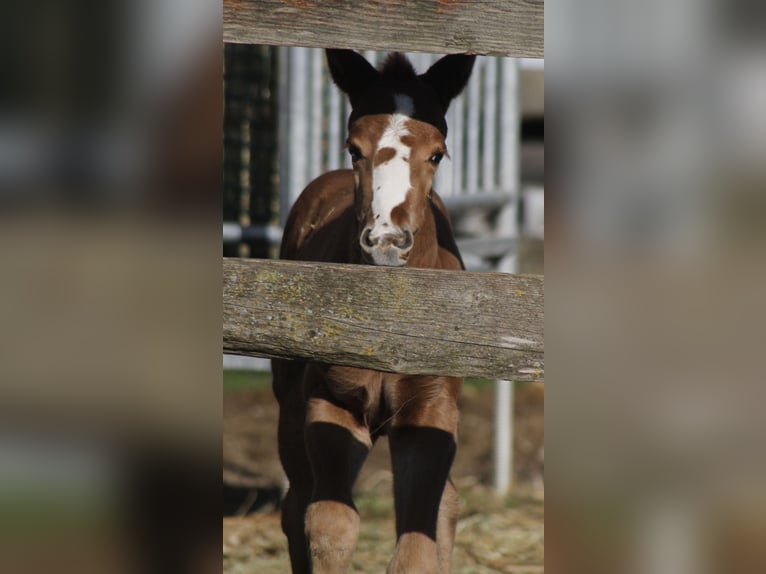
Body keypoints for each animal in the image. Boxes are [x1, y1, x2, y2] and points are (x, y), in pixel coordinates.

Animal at [272, 49, 475, 574]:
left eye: (437, 152)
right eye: (353, 148)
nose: (386, 241)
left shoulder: (429, 410)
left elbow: (417, 547)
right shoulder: (332, 403)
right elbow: (330, 524)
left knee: (447, 504)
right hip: (288, 404)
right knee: (296, 504)